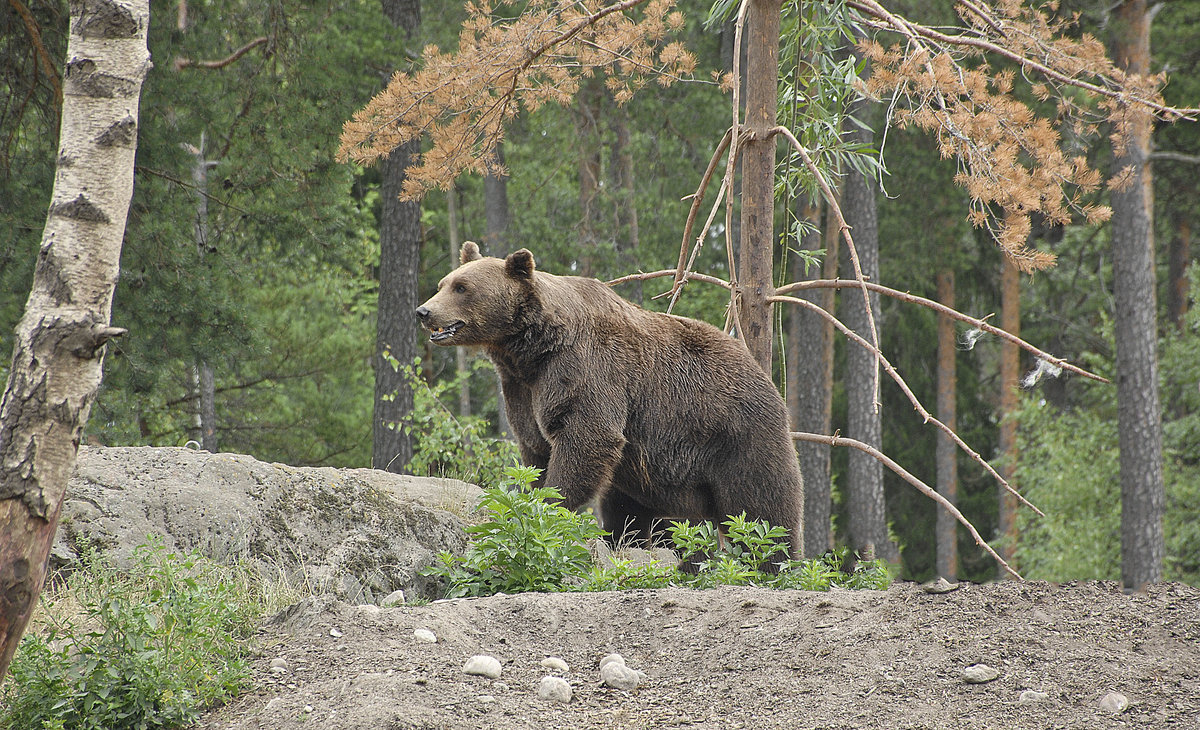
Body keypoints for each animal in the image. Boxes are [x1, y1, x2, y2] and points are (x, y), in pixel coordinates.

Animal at [415, 243, 806, 559]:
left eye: (462, 288)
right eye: (443, 283)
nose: (424, 311)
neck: (530, 347)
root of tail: (764, 374)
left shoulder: (588, 369)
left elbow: (587, 437)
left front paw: (550, 505)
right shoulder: (521, 387)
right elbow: (535, 446)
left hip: (736, 436)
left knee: (762, 509)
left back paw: (773, 560)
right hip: (661, 477)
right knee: (632, 511)